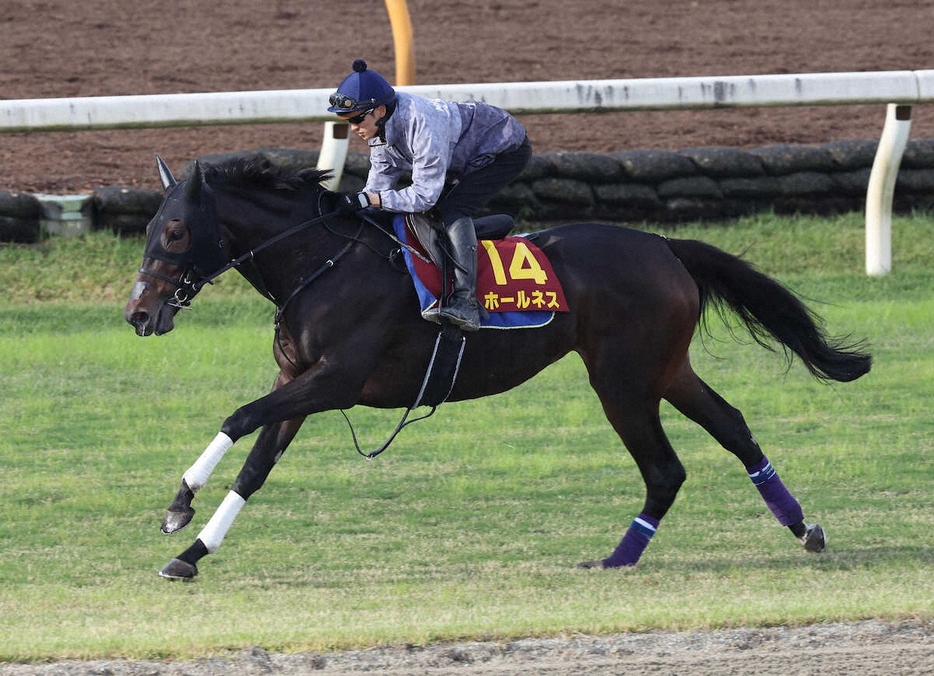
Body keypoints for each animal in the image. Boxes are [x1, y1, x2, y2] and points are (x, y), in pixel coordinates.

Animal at [122, 156, 872, 580]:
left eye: (177, 231)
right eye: (150, 227)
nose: (138, 312)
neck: (322, 264)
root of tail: (663, 244)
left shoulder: (335, 381)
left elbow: (239, 416)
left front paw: (179, 505)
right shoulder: (298, 382)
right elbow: (255, 465)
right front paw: (192, 550)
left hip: (623, 380)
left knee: (666, 469)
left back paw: (617, 559)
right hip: (665, 369)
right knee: (735, 427)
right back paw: (803, 527)